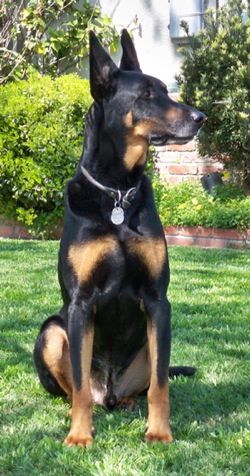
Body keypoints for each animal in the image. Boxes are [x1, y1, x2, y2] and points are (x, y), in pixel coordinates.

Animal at [32, 29, 205, 446]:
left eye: (166, 90)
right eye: (146, 95)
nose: (201, 118)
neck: (117, 192)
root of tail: (108, 392)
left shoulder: (158, 302)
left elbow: (160, 386)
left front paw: (159, 432)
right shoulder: (80, 304)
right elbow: (79, 385)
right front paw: (80, 436)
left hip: (149, 339)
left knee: (145, 383)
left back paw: (125, 403)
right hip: (52, 332)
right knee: (77, 389)